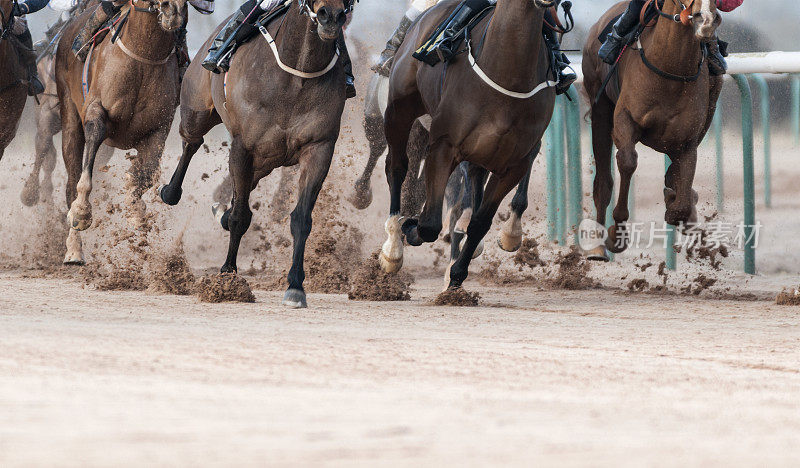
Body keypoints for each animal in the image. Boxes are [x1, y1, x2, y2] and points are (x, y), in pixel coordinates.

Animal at [56, 0, 188, 264]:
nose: (173, 10)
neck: (144, 55)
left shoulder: (160, 127)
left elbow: (144, 174)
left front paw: (136, 211)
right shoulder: (96, 110)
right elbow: (87, 166)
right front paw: (81, 213)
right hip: (69, 115)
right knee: (71, 179)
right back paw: (74, 250)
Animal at [159, 0, 350, 308]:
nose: (330, 16)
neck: (297, 73)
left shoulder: (319, 147)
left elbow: (301, 218)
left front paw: (295, 286)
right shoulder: (243, 146)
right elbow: (239, 217)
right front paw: (228, 276)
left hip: (266, 160)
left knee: (246, 185)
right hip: (197, 110)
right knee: (191, 143)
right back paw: (170, 191)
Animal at [380, 0, 556, 290]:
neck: (508, 73)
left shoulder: (515, 162)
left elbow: (480, 221)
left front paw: (457, 273)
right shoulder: (443, 145)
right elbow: (429, 224)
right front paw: (411, 228)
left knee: (473, 179)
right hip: (399, 109)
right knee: (396, 167)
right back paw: (393, 246)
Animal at [580, 0, 724, 260]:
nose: (706, 20)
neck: (670, 69)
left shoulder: (688, 141)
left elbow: (680, 202)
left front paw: (681, 207)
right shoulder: (625, 121)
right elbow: (627, 162)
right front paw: (617, 234)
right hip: (600, 107)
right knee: (603, 181)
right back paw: (598, 247)